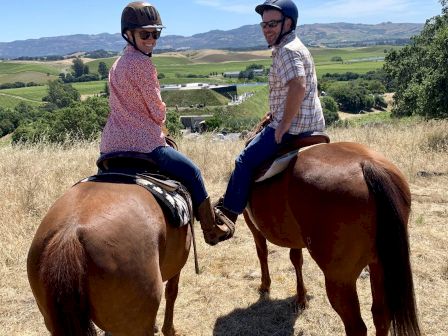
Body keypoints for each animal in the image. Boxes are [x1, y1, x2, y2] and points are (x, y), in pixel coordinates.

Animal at [243, 142, 422, 336]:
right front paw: (301, 298)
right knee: (381, 315)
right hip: (379, 265)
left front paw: (265, 285)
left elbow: (262, 253)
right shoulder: (295, 238)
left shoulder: (253, 227)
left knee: (356, 327)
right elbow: (296, 260)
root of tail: (368, 165)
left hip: (340, 280)